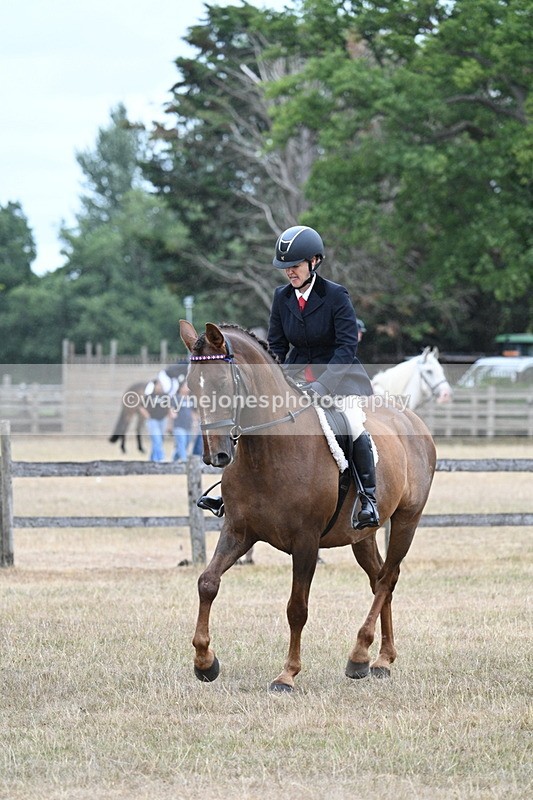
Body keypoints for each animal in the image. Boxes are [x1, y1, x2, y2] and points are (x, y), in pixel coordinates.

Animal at [180, 320, 437, 692]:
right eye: (191, 386)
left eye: (223, 383)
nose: (217, 455)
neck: (268, 450)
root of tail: (412, 420)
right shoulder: (238, 531)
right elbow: (207, 583)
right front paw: (204, 662)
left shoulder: (306, 541)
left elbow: (296, 608)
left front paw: (287, 674)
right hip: (363, 535)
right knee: (378, 580)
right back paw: (380, 660)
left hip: (406, 521)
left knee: (388, 579)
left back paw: (359, 655)